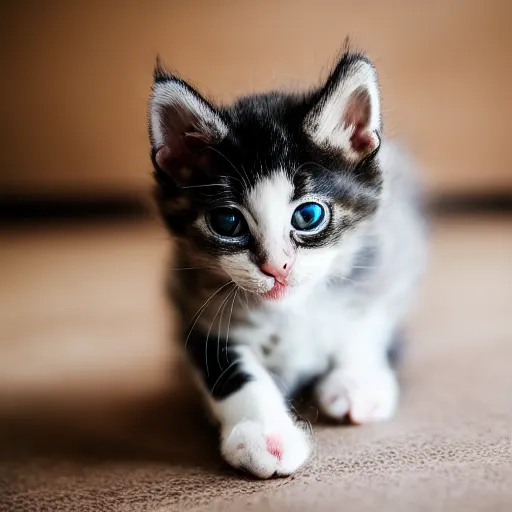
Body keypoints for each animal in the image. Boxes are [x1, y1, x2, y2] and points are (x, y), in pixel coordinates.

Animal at [149, 50, 428, 478]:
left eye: (308, 215)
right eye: (227, 222)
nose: (276, 267)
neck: (292, 311)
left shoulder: (391, 252)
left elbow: (366, 318)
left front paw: (357, 382)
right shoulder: (191, 299)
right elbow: (226, 369)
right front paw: (264, 434)